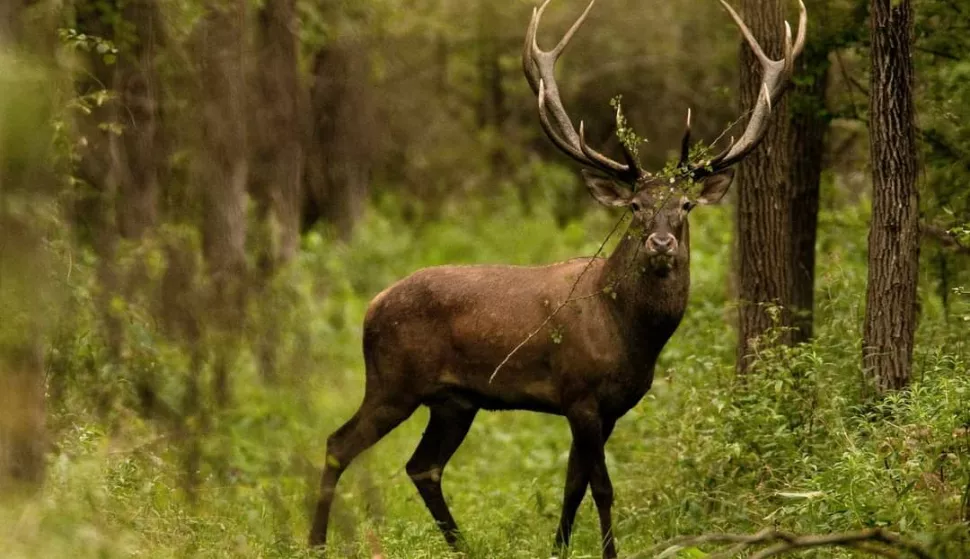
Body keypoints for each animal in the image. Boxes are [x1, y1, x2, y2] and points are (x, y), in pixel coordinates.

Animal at [308, 2, 800, 556]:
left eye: (686, 205)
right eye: (636, 206)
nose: (661, 243)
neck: (629, 334)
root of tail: (372, 305)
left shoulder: (608, 408)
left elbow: (573, 484)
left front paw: (558, 547)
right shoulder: (580, 393)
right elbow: (601, 487)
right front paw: (608, 551)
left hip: (453, 401)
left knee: (422, 466)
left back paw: (463, 546)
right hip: (393, 380)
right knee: (338, 444)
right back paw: (316, 542)